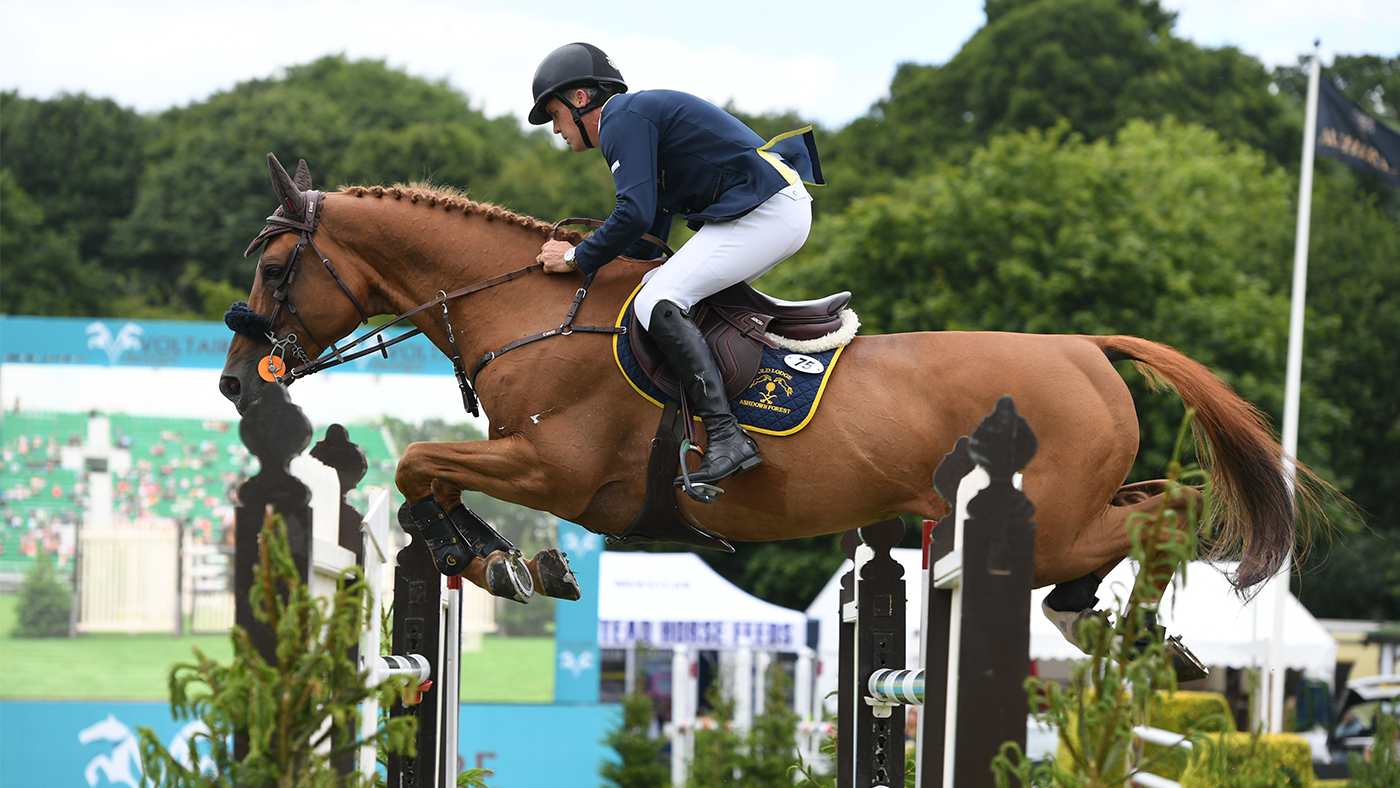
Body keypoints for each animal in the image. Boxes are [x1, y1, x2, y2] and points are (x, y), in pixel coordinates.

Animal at [219, 156, 1319, 661]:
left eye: (274, 270)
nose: (234, 382)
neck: (529, 311)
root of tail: (1086, 350)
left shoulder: (559, 473)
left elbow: (421, 465)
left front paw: (495, 556)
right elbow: (428, 476)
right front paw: (489, 555)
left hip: (1048, 513)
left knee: (1168, 513)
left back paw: (1128, 625)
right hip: (1063, 505)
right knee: (1143, 513)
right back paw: (1111, 625)